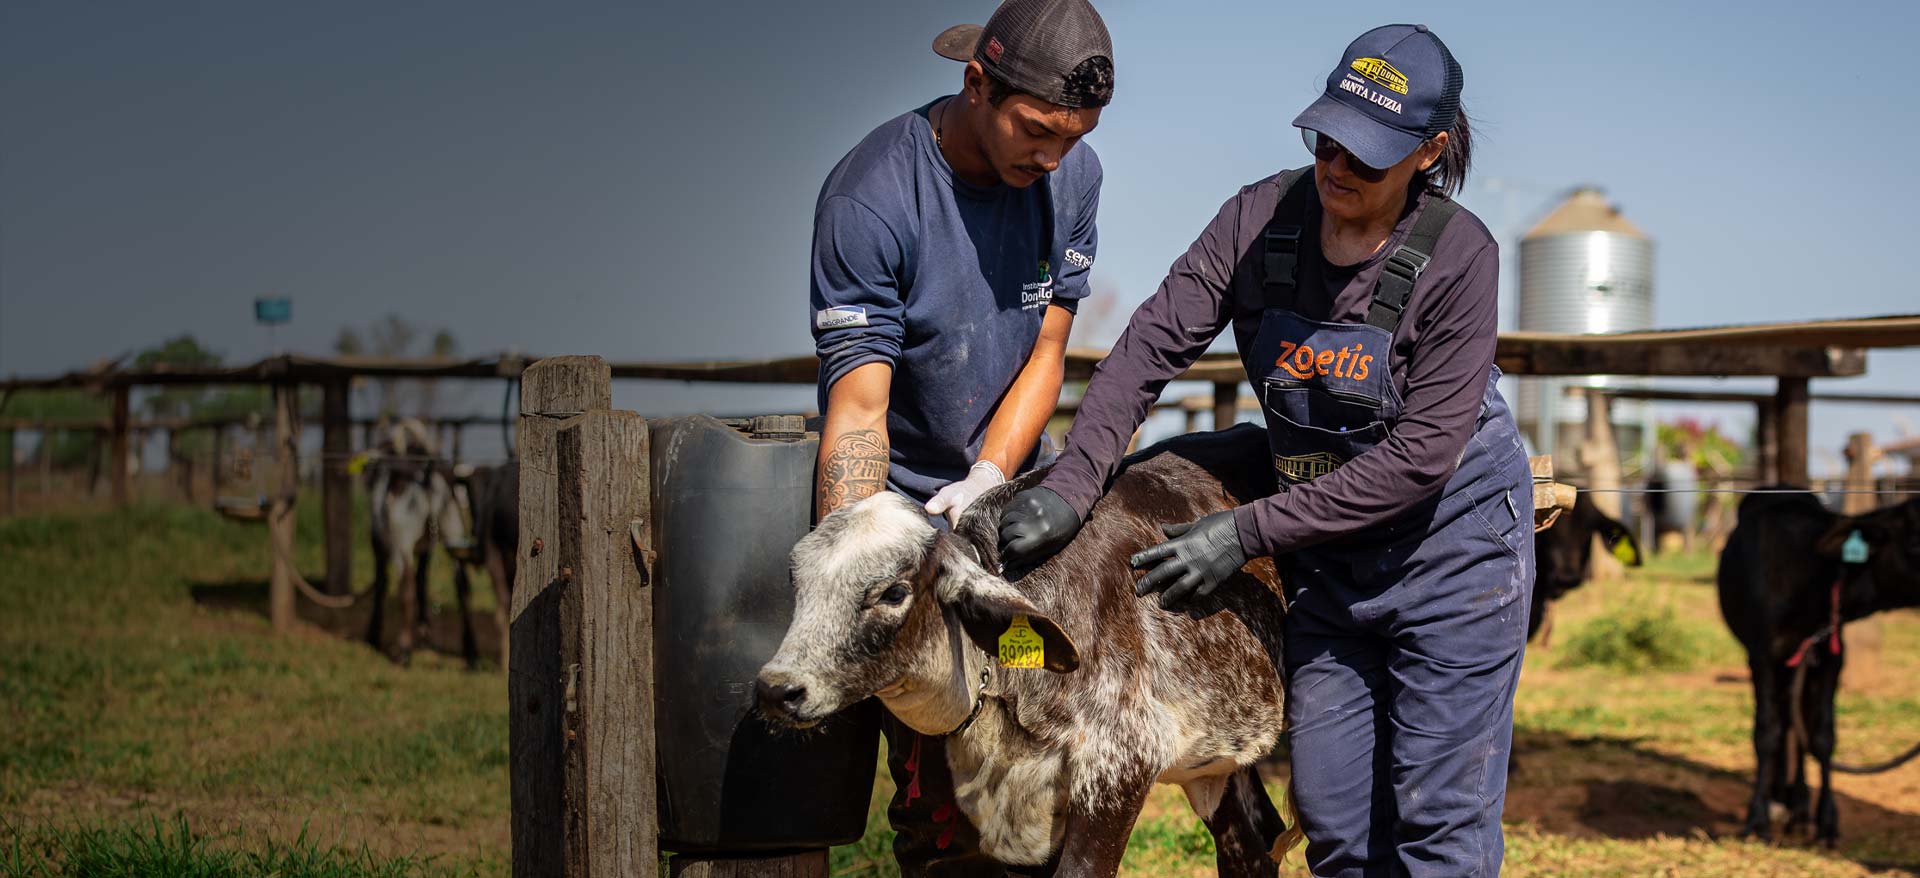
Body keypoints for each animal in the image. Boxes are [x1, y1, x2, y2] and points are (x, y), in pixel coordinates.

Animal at [1717, 489, 1920, 846]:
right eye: (1914, 542)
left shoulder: (1831, 658)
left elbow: (1823, 736)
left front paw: (1826, 822)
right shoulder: (1762, 657)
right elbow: (1766, 733)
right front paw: (1757, 818)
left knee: (1797, 726)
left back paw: (1797, 807)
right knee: (1784, 722)